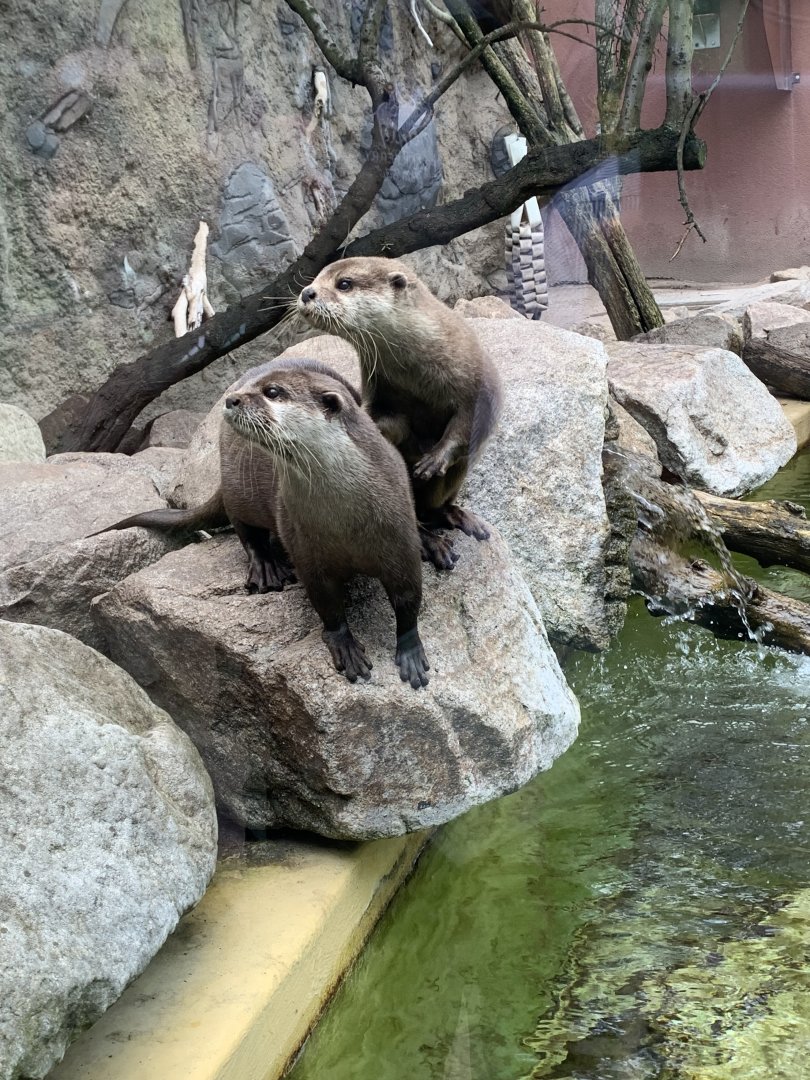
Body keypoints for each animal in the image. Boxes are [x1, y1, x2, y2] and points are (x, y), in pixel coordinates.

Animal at [99, 357, 429, 688]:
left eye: (272, 391)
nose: (232, 399)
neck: (345, 521)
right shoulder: (307, 552)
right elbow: (328, 606)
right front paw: (344, 645)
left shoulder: (399, 541)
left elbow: (409, 599)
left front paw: (411, 652)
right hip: (239, 492)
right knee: (246, 532)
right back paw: (267, 567)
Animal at [296, 257, 502, 570]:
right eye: (315, 279)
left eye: (344, 283)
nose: (307, 292)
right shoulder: (378, 387)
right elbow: (386, 421)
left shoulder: (479, 380)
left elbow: (466, 426)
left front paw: (434, 458)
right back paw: (432, 543)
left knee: (436, 504)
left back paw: (460, 518)